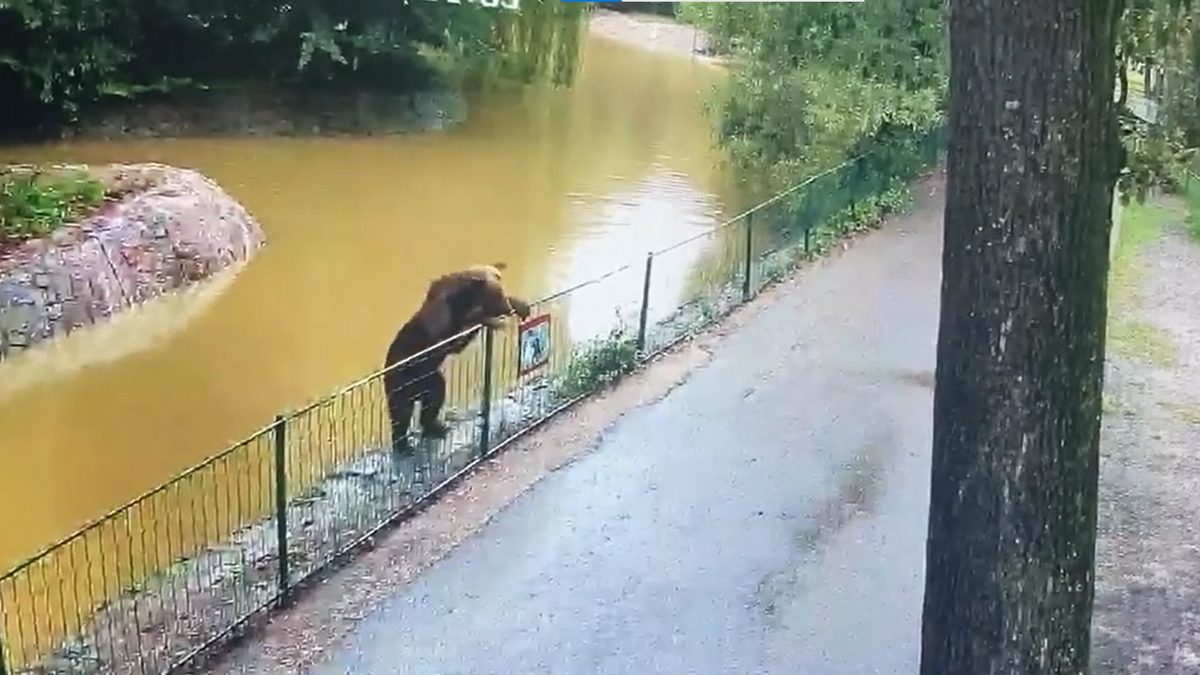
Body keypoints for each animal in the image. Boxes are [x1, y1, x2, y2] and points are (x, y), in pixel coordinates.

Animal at [381, 261, 532, 451]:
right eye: (497, 295)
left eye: (502, 292)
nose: (507, 308)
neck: (462, 301)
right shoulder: (440, 326)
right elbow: (452, 338)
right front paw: (490, 319)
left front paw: (520, 305)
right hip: (402, 381)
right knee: (401, 413)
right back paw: (403, 445)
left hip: (428, 380)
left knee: (434, 397)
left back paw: (435, 427)